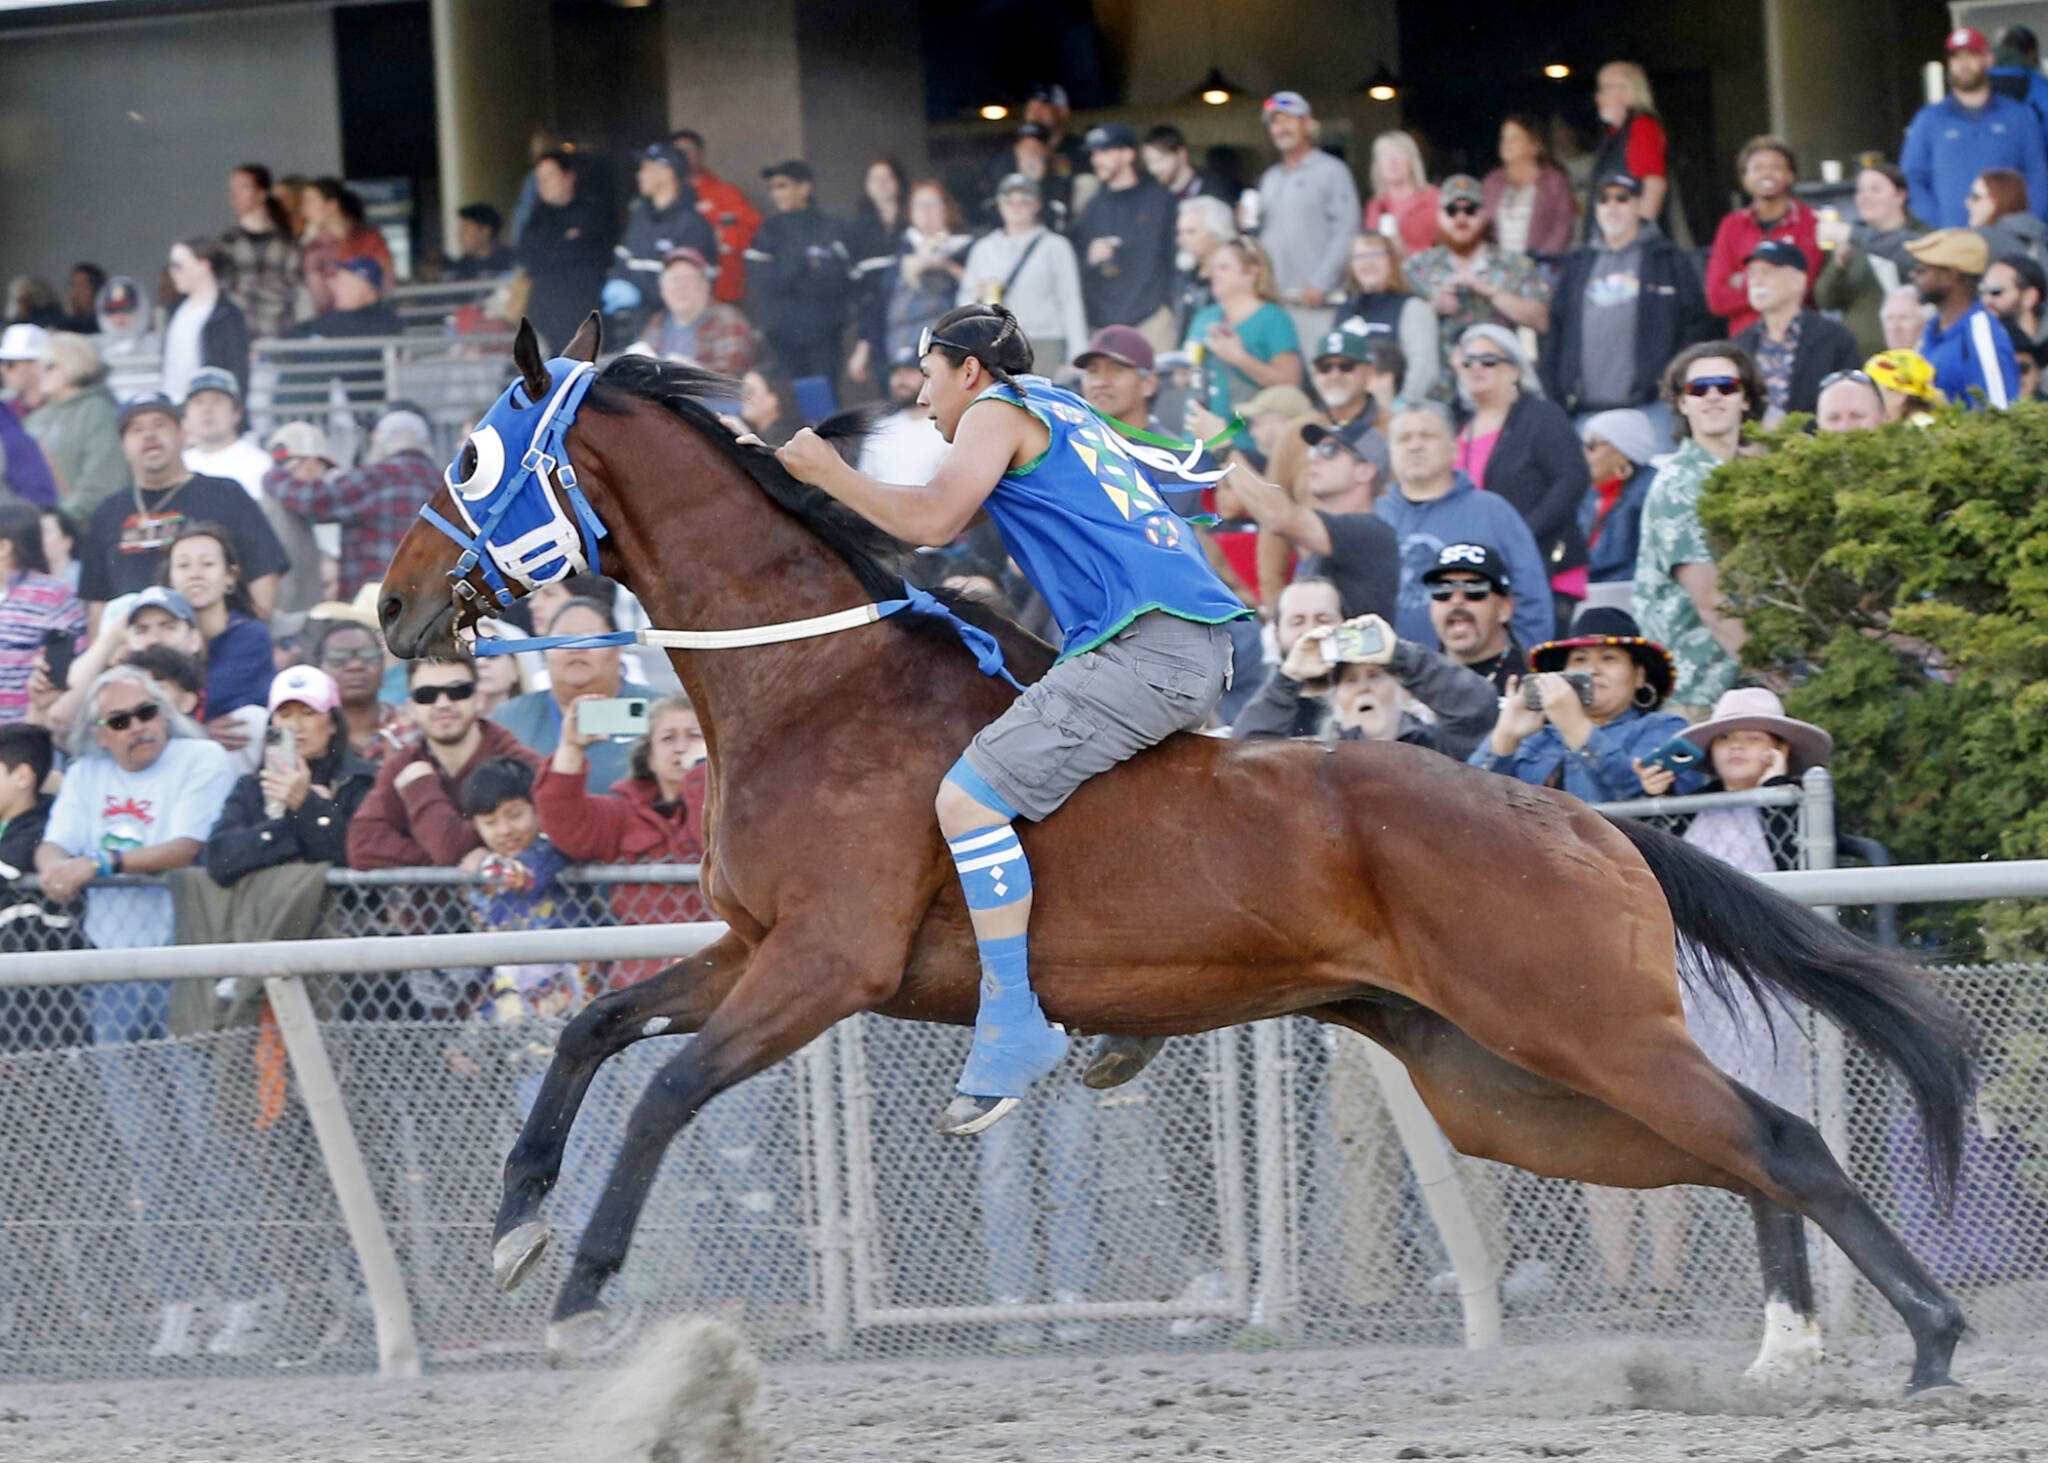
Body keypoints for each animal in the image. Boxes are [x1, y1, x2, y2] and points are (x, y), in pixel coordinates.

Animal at [376, 319, 1974, 1393]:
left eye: (470, 455)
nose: (391, 605)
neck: (813, 685)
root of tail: (1580, 818)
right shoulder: (753, 946)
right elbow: (589, 1028)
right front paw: (515, 1228)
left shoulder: (829, 964)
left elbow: (665, 1094)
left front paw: (583, 1288)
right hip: (1501, 1083)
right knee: (1740, 1149)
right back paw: (1794, 1339)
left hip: (1574, 1024)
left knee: (1781, 1138)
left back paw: (1932, 1335)